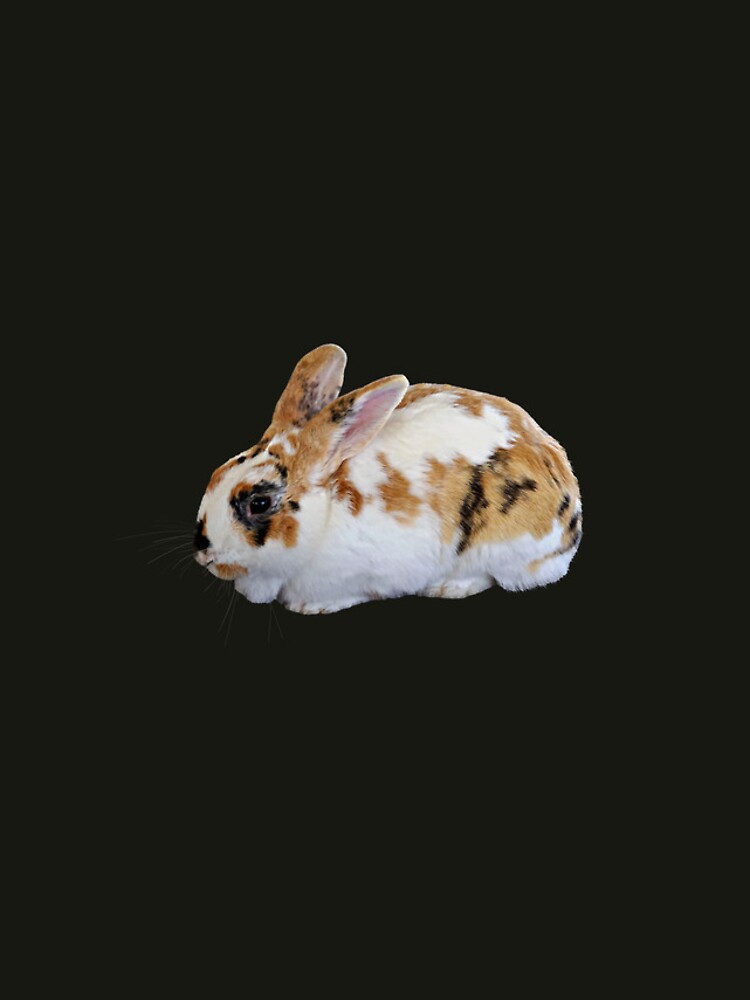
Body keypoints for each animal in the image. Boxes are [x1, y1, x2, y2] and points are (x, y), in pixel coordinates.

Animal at [193, 345, 582, 614]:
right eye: (216, 474)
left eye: (259, 503)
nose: (203, 551)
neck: (327, 514)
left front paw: (312, 607)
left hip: (503, 545)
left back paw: (448, 587)